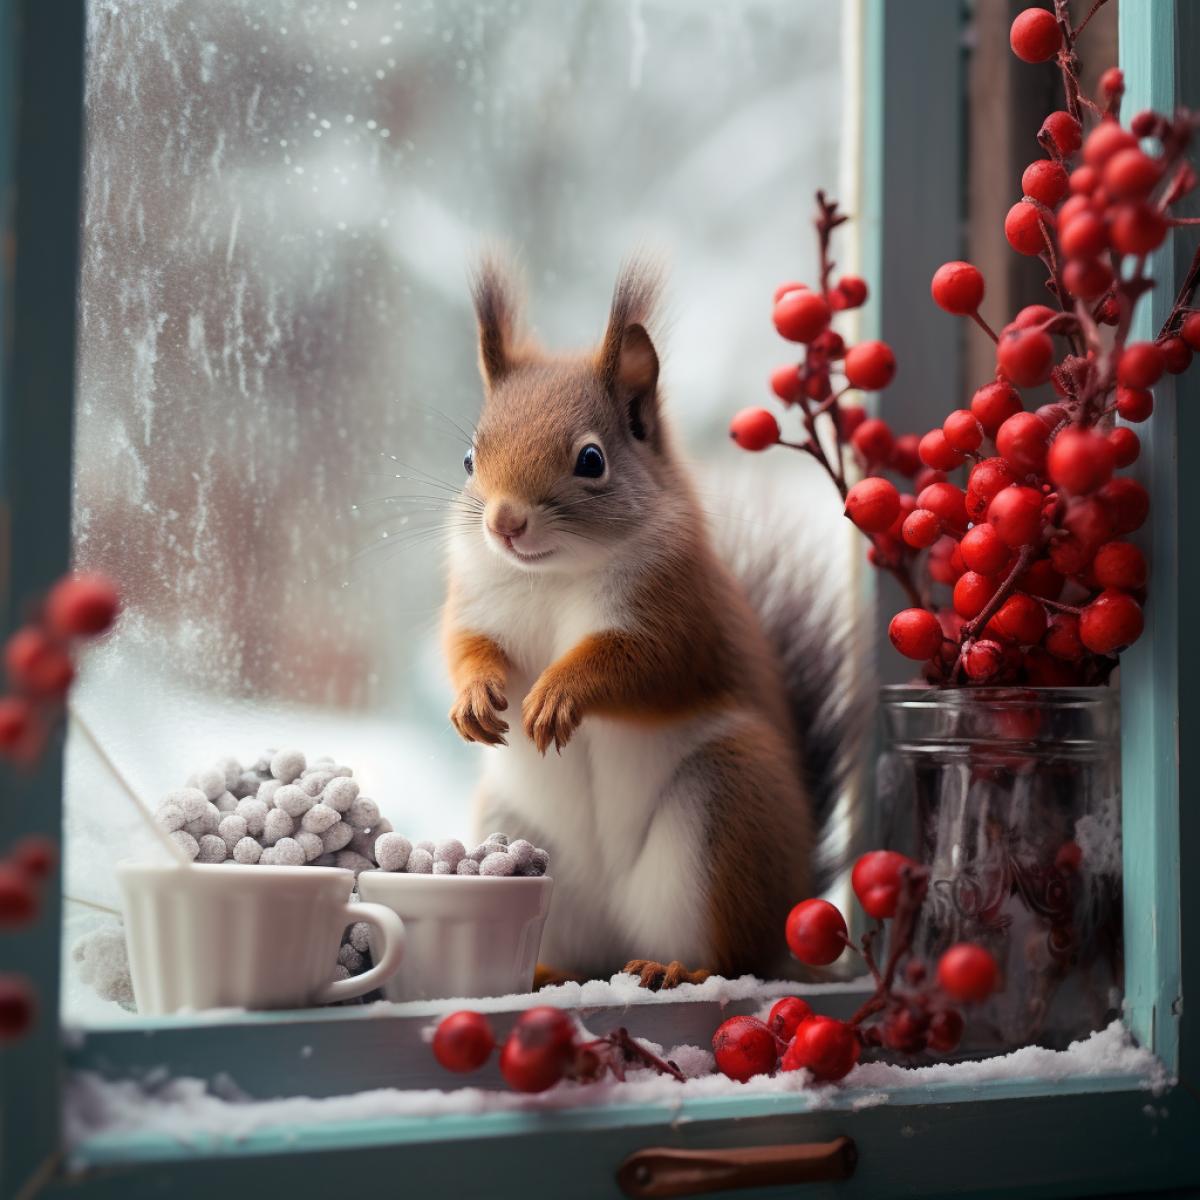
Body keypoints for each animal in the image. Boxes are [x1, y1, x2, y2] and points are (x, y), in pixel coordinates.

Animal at [442, 256, 866, 989]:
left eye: (591, 460)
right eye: (470, 459)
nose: (504, 522)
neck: (554, 575)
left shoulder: (680, 612)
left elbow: (643, 666)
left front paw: (559, 693)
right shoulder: (475, 600)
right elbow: (466, 646)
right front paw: (473, 695)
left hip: (723, 814)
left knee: (734, 959)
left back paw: (678, 971)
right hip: (526, 832)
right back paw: (547, 972)